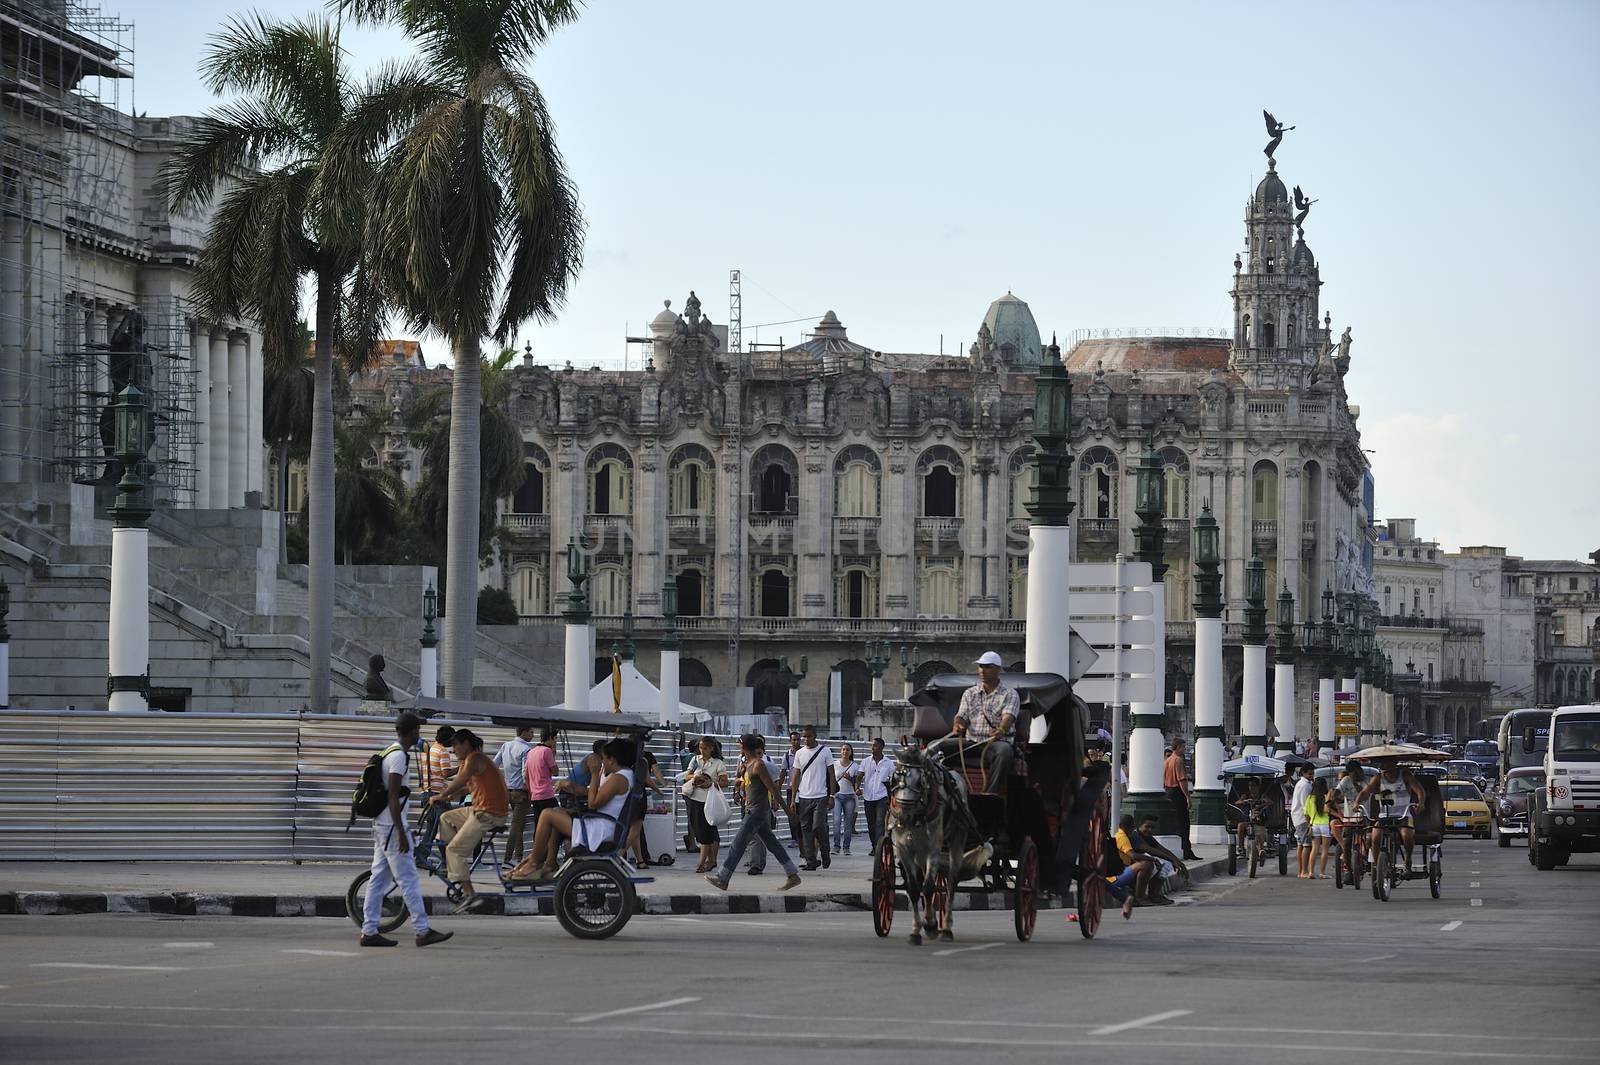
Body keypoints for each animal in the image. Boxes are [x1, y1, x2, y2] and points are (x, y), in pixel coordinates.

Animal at [889, 741, 985, 940]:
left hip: (957, 838)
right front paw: (916, 930)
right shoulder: (904, 849)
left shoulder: (933, 847)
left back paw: (946, 928)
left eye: (920, 781)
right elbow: (914, 888)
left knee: (951, 883)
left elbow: (927, 887)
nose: (903, 814)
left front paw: (931, 925)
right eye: (896, 778)